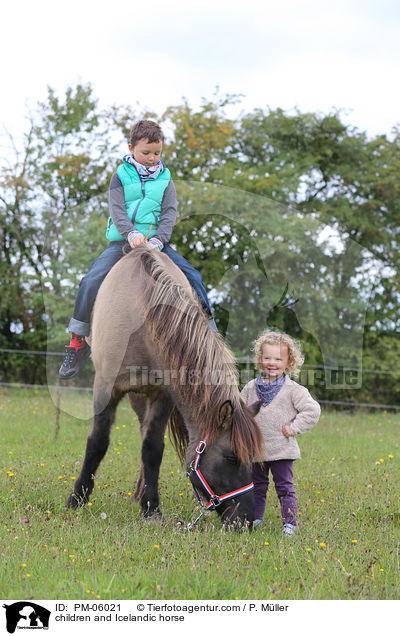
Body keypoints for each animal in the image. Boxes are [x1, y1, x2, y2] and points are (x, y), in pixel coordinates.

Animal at [67, 246, 264, 524]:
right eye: (231, 457)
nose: (246, 519)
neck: (140, 316)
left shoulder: (163, 395)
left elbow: (152, 448)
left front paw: (150, 507)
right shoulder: (105, 387)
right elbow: (97, 442)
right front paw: (78, 498)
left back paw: (141, 492)